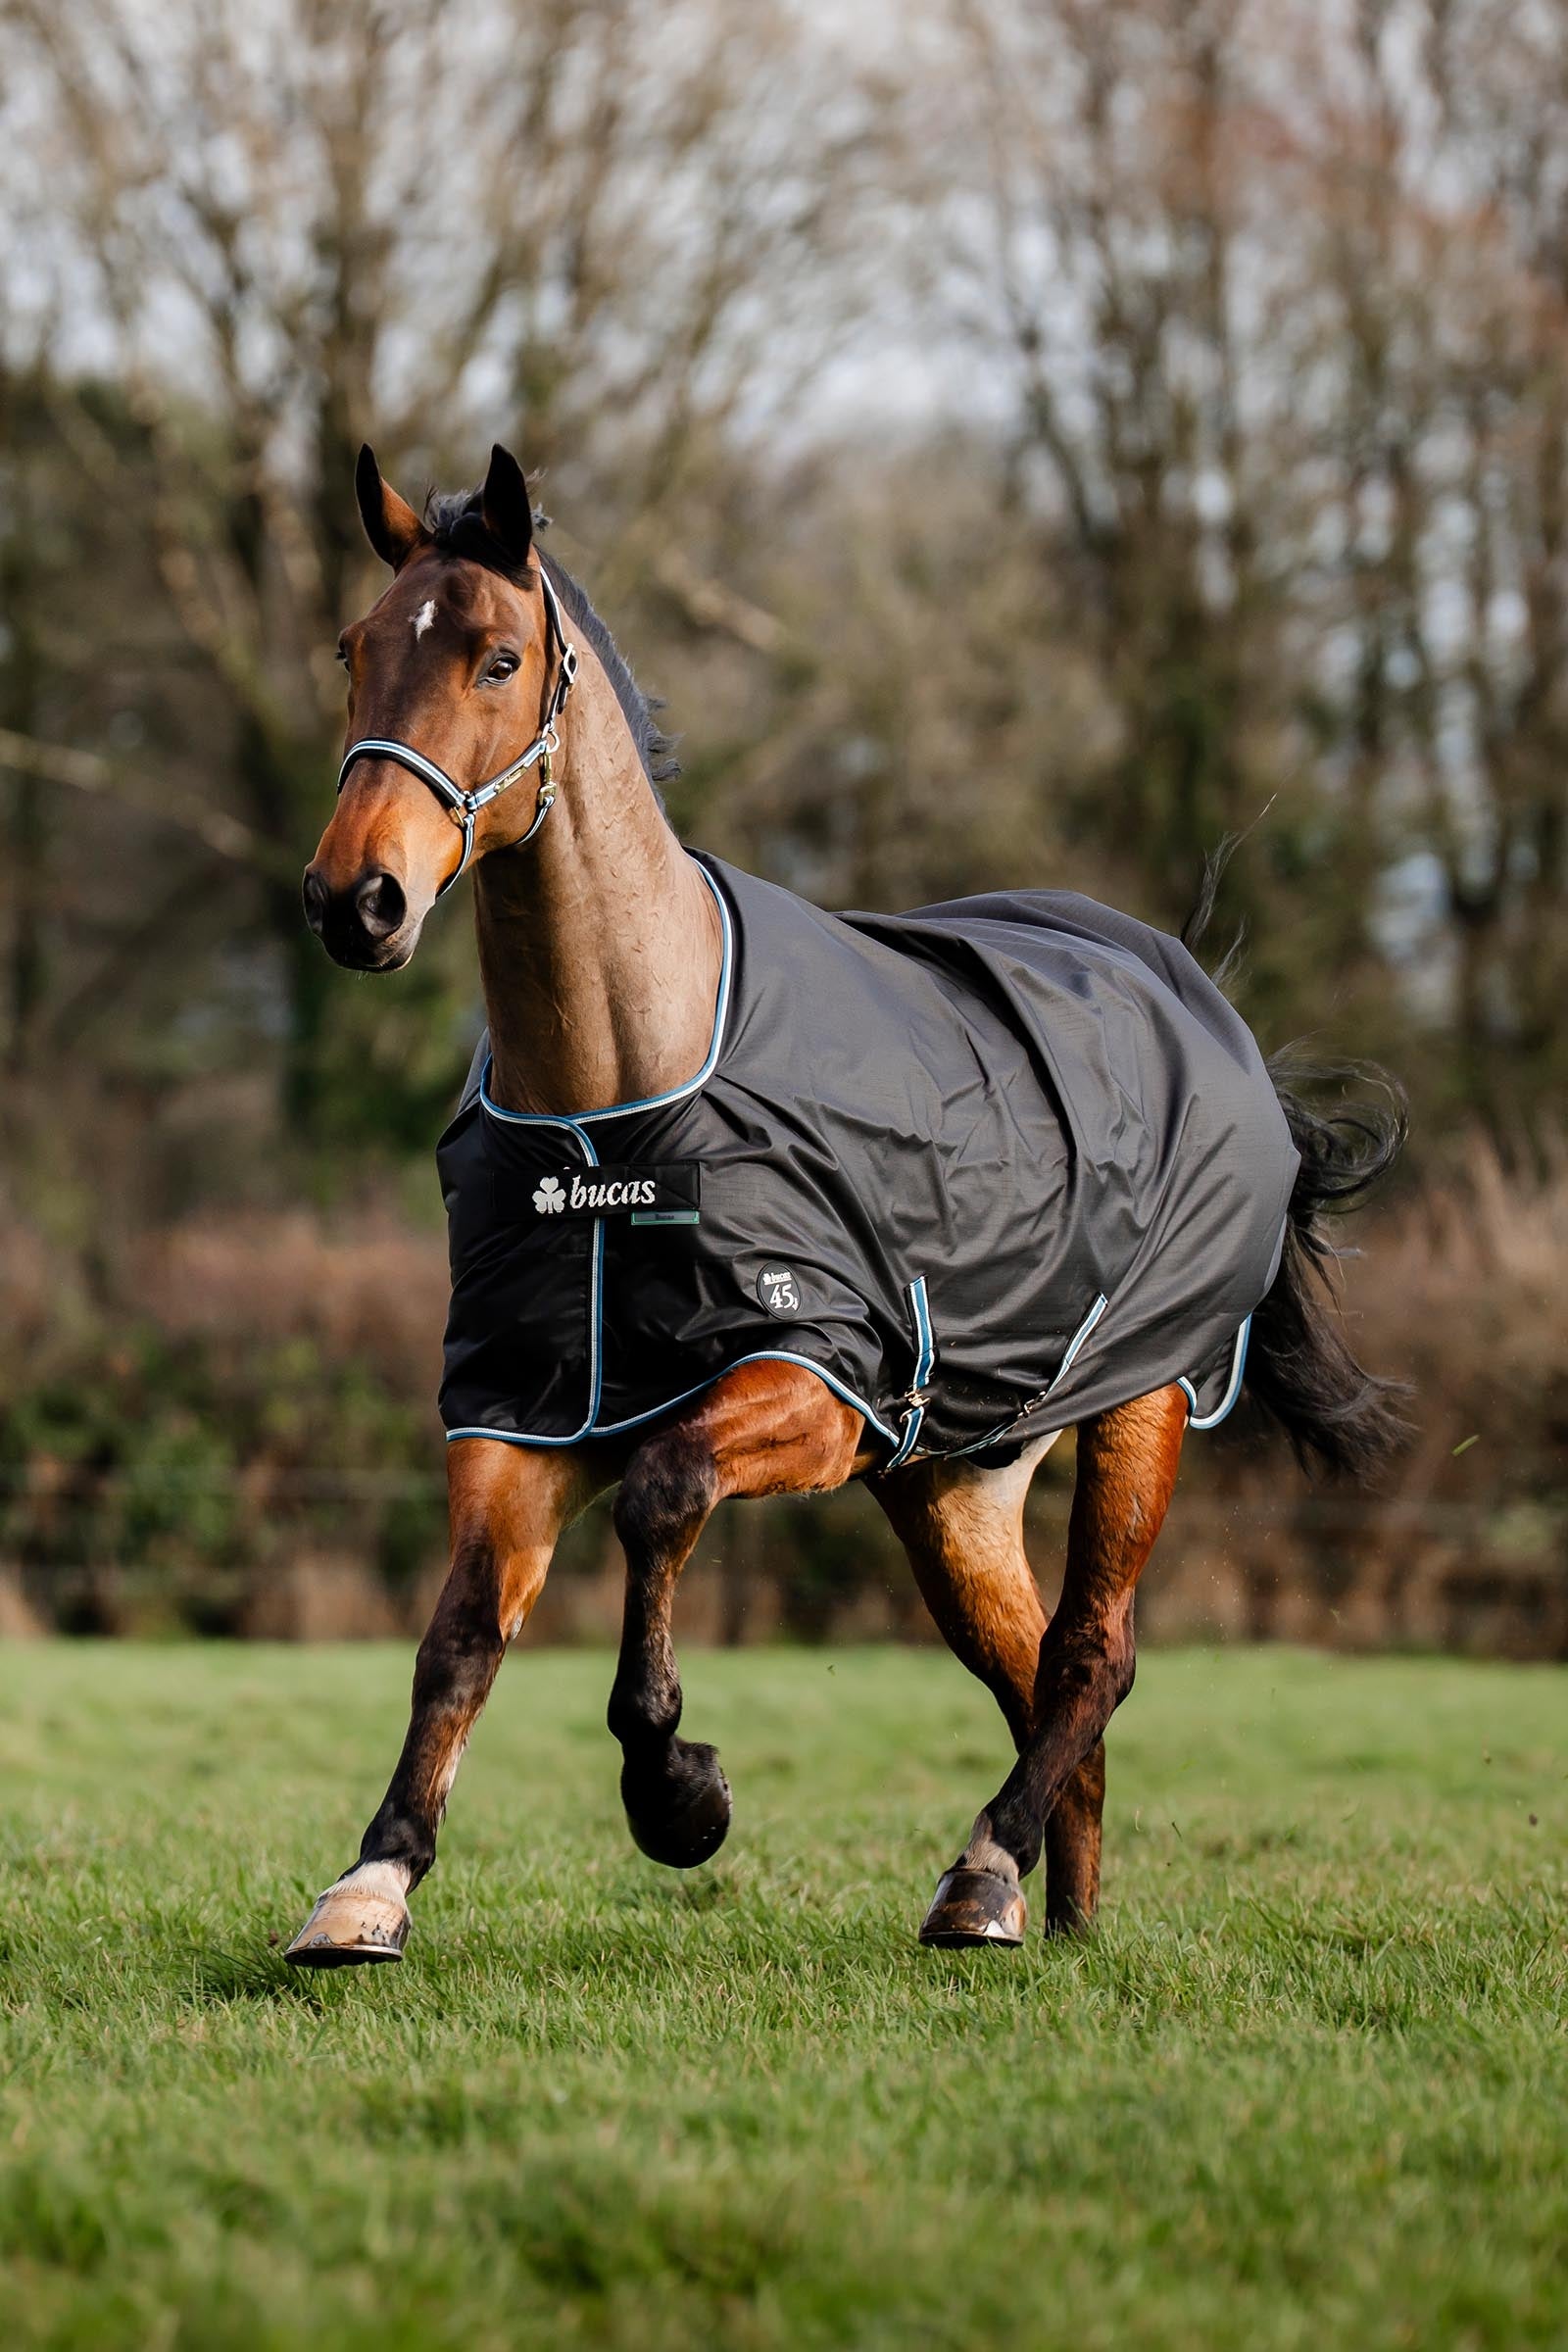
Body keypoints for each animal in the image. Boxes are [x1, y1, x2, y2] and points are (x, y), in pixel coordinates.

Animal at [285, 442, 1405, 1966]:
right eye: (356, 651)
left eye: (496, 658)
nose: (358, 899)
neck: (616, 1107)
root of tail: (1207, 1012)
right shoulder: (518, 1411)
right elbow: (458, 1635)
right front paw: (372, 1880)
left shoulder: (812, 1383)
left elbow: (662, 1492)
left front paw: (677, 1790)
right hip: (952, 1487)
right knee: (1040, 1680)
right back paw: (1056, 1919)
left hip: (1140, 1405)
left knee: (1092, 1655)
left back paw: (981, 1876)